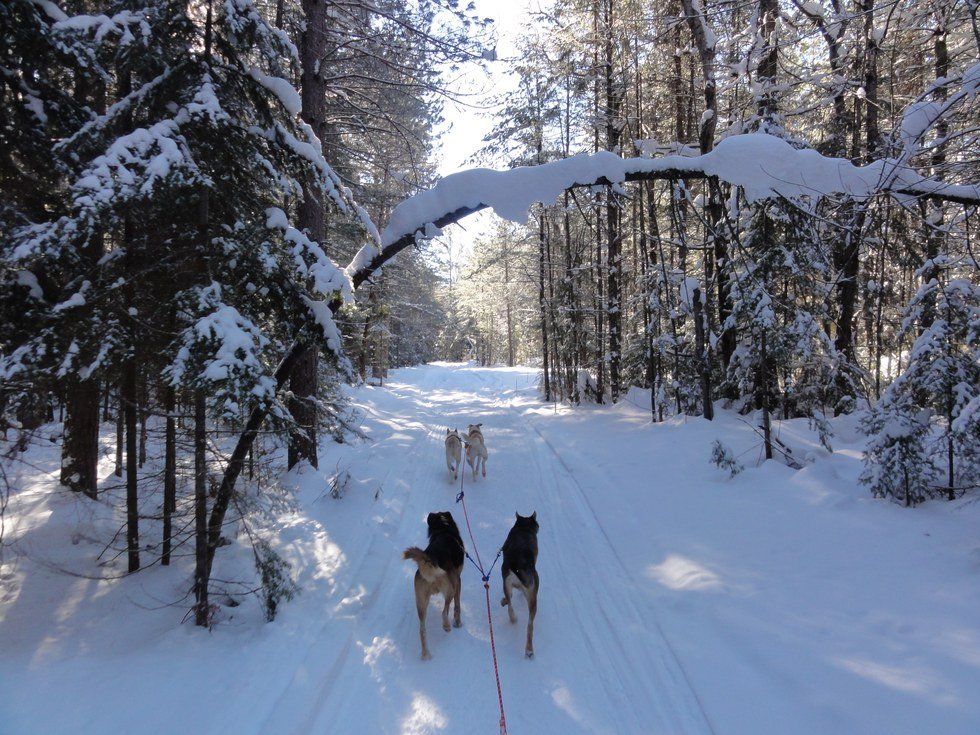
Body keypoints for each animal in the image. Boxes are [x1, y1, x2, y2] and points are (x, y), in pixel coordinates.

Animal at [402, 512, 464, 660]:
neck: (443, 529)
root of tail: (429, 561)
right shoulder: (458, 581)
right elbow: (457, 607)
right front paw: (458, 623)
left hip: (421, 602)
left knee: (422, 630)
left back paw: (426, 654)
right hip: (450, 589)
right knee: (444, 611)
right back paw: (446, 626)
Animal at [502, 512, 540, 660]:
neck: (523, 528)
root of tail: (517, 565)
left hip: (506, 584)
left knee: (510, 607)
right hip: (533, 594)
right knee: (530, 626)